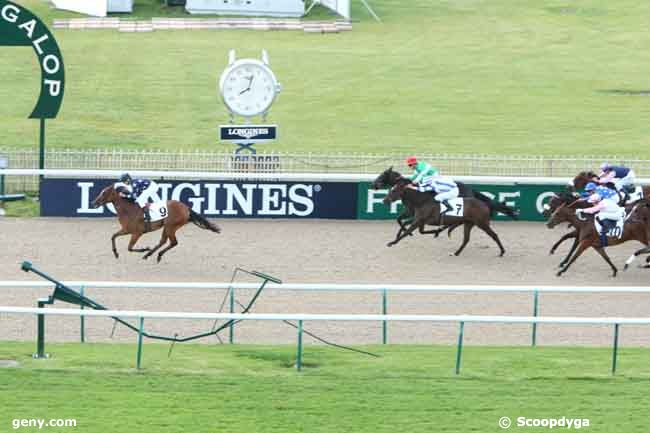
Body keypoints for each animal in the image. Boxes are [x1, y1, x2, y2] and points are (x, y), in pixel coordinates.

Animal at [90, 181, 223, 260]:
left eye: (104, 193)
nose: (93, 202)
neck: (128, 210)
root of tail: (186, 208)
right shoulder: (126, 230)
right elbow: (113, 236)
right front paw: (116, 253)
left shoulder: (137, 233)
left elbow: (129, 247)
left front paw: (145, 248)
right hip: (167, 227)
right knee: (164, 241)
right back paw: (150, 255)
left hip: (171, 226)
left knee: (173, 242)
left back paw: (154, 254)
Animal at [370, 166, 516, 240]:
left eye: (382, 175)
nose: (373, 184)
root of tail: (471, 190)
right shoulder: (411, 211)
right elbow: (399, 220)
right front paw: (404, 233)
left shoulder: (413, 212)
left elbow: (403, 221)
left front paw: (407, 232)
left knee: (456, 221)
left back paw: (442, 231)